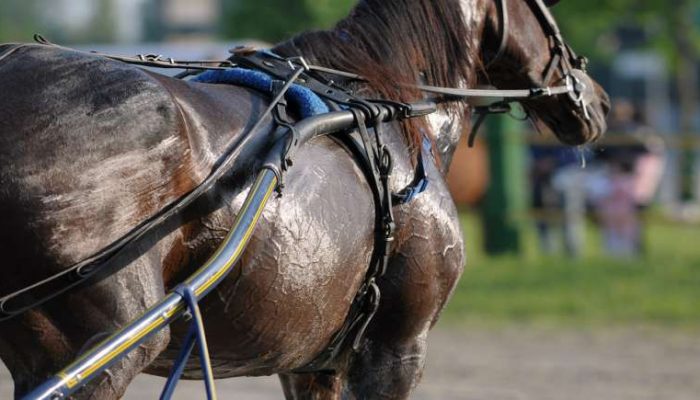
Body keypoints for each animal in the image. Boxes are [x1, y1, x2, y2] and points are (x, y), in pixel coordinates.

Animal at [0, 0, 608, 396]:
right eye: (546, 8)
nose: (596, 99)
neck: (380, 106)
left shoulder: (314, 360)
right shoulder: (396, 349)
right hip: (105, 348)